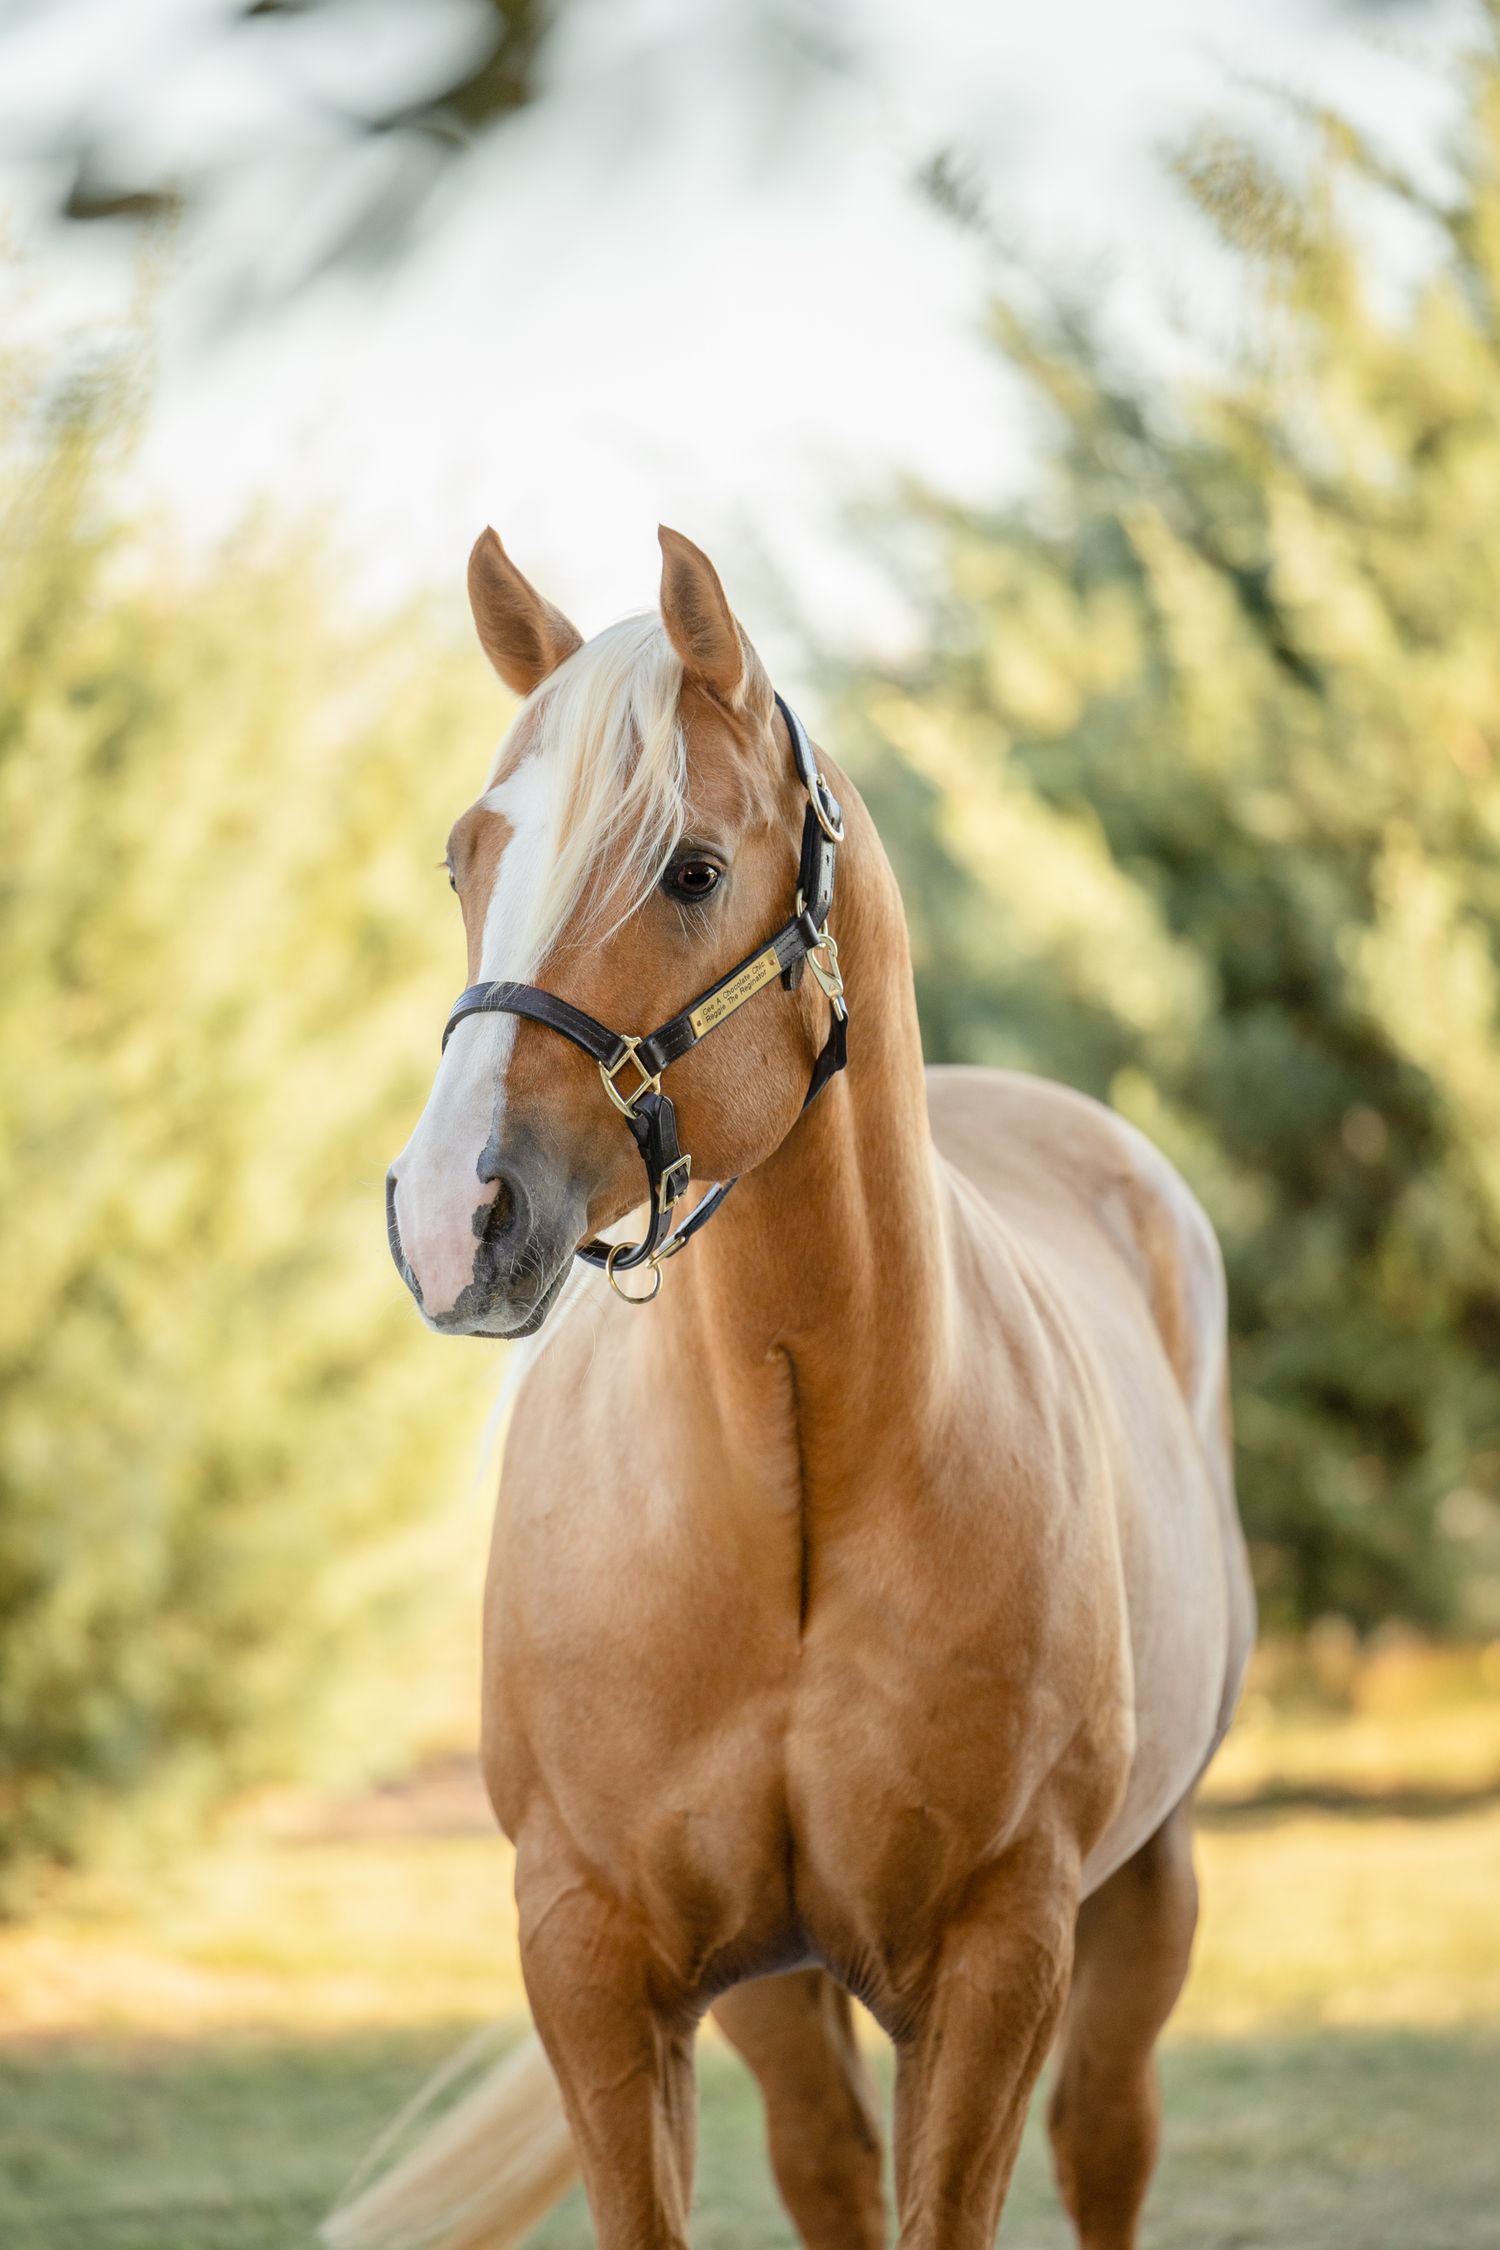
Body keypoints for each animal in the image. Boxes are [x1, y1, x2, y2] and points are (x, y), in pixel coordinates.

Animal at [332, 525, 1256, 2250]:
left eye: (692, 869)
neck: (794, 1485)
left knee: (1109, 2139)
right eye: (468, 856)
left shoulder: (998, 1955)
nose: (447, 1216)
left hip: (1145, 1886)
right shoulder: (595, 1955)